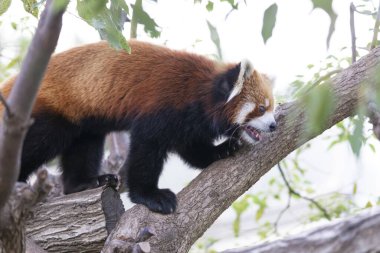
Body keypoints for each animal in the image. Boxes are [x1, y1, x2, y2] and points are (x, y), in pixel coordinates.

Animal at [0, 40, 276, 213]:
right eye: (261, 109)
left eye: (272, 107)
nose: (273, 125)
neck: (200, 92)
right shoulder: (161, 108)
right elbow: (146, 150)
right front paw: (150, 196)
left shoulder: (187, 123)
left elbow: (192, 149)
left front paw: (222, 149)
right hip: (51, 113)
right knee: (37, 143)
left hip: (82, 120)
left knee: (84, 147)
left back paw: (86, 183)